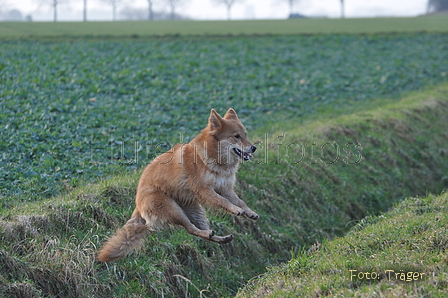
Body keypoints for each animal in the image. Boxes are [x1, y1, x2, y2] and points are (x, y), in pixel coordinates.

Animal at [98, 108, 260, 262]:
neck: (213, 156)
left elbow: (240, 201)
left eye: (245, 135)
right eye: (236, 136)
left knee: (197, 230)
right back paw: (210, 233)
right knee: (190, 229)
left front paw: (249, 212)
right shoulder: (205, 190)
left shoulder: (225, 188)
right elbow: (224, 202)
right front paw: (236, 210)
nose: (253, 148)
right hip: (174, 210)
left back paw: (221, 238)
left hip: (196, 211)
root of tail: (138, 204)